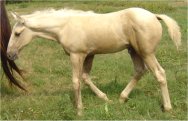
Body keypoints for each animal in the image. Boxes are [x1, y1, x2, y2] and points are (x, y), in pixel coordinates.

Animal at [7, 7, 181, 115]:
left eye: (17, 33)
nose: (9, 55)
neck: (65, 26)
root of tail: (154, 15)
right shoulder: (89, 54)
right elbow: (85, 77)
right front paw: (104, 98)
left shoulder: (76, 55)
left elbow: (76, 80)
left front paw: (79, 110)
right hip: (134, 51)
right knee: (140, 71)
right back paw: (122, 97)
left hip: (146, 53)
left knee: (159, 73)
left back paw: (167, 108)